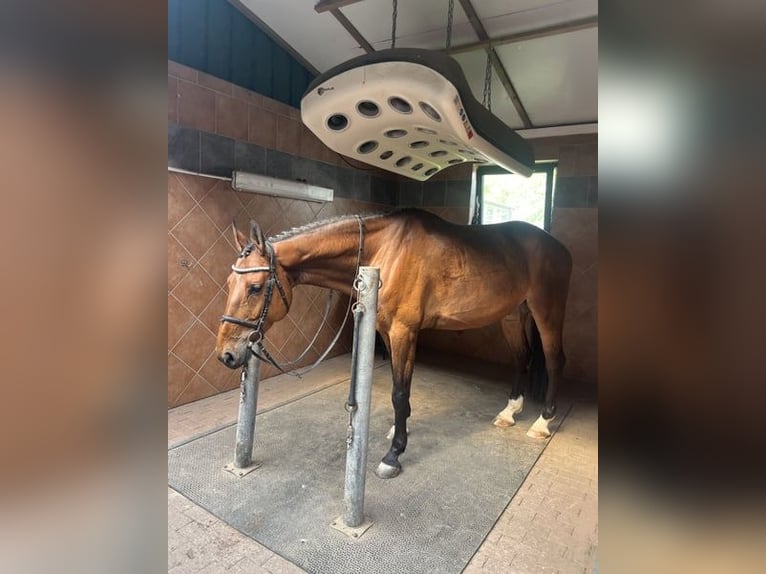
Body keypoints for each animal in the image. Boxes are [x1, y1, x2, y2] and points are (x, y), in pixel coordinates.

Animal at [216, 208, 572, 479]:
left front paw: (393, 454)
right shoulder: (388, 332)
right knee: (522, 358)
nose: (226, 355)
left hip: (547, 313)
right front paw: (399, 432)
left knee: (555, 360)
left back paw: (542, 422)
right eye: (230, 282)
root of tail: (560, 248)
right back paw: (510, 411)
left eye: (256, 287)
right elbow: (398, 389)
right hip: (512, 315)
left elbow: (400, 393)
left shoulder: (404, 331)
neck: (385, 250)